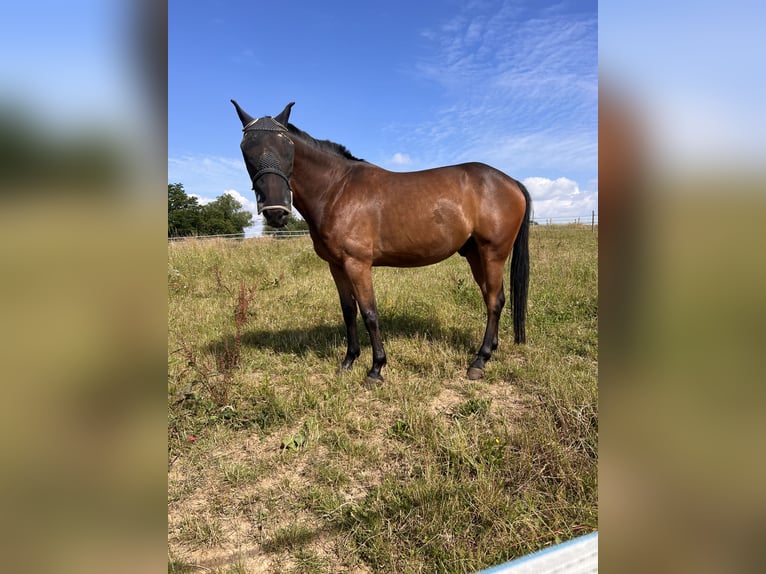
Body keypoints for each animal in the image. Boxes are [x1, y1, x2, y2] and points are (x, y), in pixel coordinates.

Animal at [231, 100, 532, 388]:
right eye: (246, 150)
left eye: (287, 148)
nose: (275, 212)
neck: (337, 189)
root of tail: (510, 181)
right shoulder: (336, 266)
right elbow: (349, 311)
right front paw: (348, 361)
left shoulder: (358, 264)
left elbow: (369, 313)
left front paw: (376, 369)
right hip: (474, 254)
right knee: (491, 297)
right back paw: (489, 351)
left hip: (492, 253)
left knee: (494, 300)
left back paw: (480, 361)